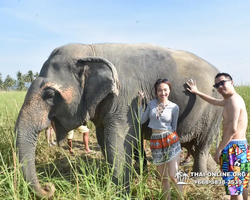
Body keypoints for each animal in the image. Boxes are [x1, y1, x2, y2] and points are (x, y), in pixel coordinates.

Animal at [15, 43, 223, 198]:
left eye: (49, 94)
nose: (49, 187)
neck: (90, 51)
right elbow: (103, 138)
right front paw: (113, 180)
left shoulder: (125, 97)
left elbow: (117, 139)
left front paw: (120, 192)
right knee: (194, 147)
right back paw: (215, 173)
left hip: (215, 110)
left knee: (202, 146)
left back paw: (199, 180)